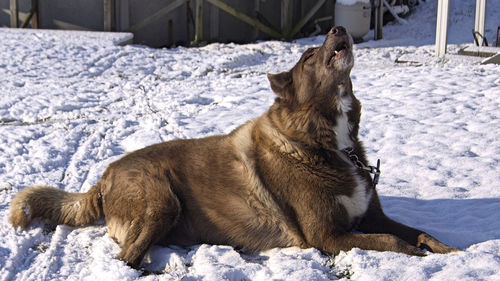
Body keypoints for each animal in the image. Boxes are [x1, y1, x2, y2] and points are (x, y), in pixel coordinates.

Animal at [9, 25, 458, 266]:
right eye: (308, 56)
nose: (338, 28)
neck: (329, 142)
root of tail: (101, 179)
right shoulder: (326, 235)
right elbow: (391, 242)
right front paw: (418, 255)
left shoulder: (373, 216)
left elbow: (419, 231)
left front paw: (450, 250)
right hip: (160, 199)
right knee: (125, 258)